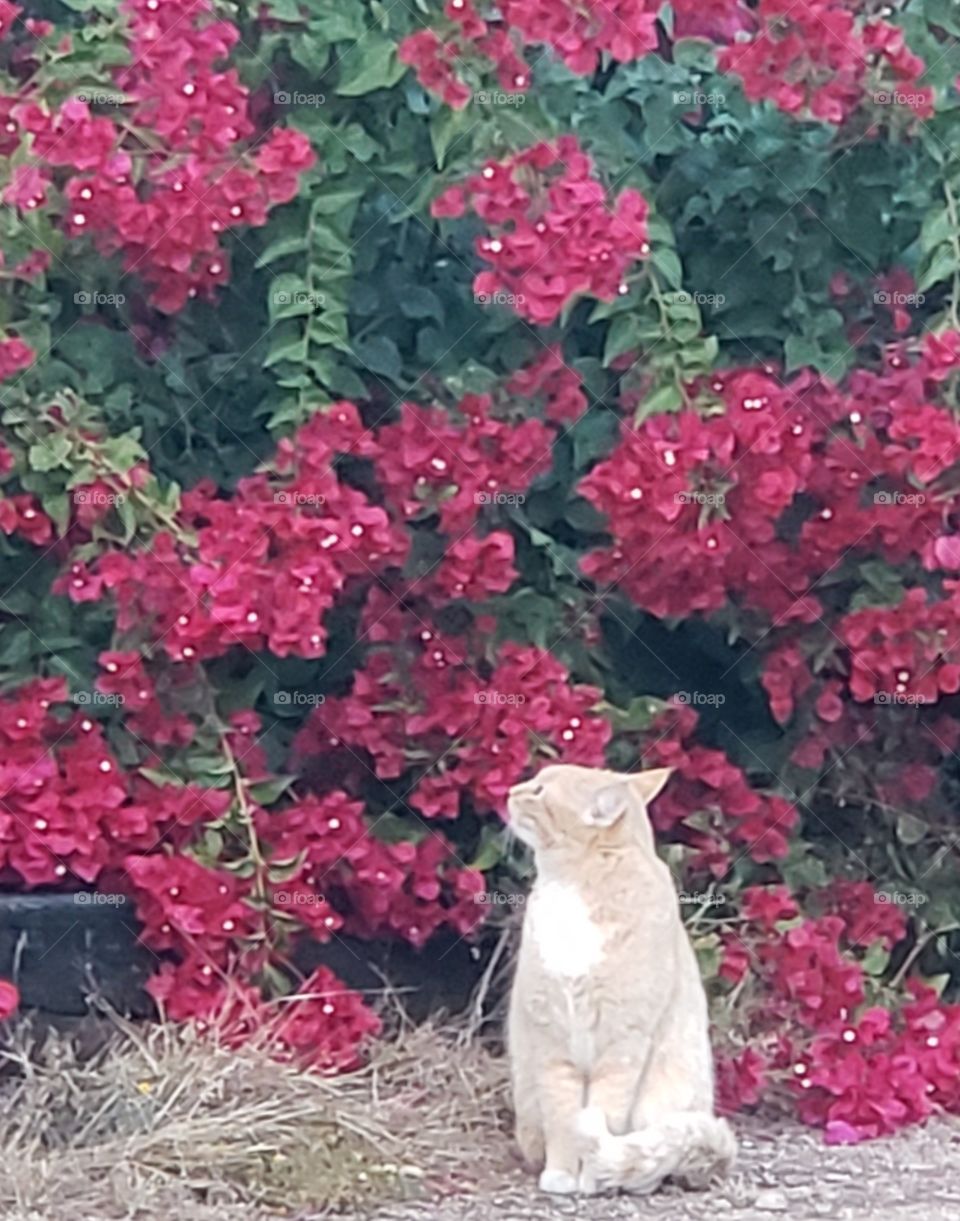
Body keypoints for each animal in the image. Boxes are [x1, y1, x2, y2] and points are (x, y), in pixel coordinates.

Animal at [508, 761, 732, 1191]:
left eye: (540, 790)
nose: (511, 790)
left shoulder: (623, 1043)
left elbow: (603, 1115)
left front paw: (593, 1176)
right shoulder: (551, 1042)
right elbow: (562, 1121)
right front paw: (561, 1174)